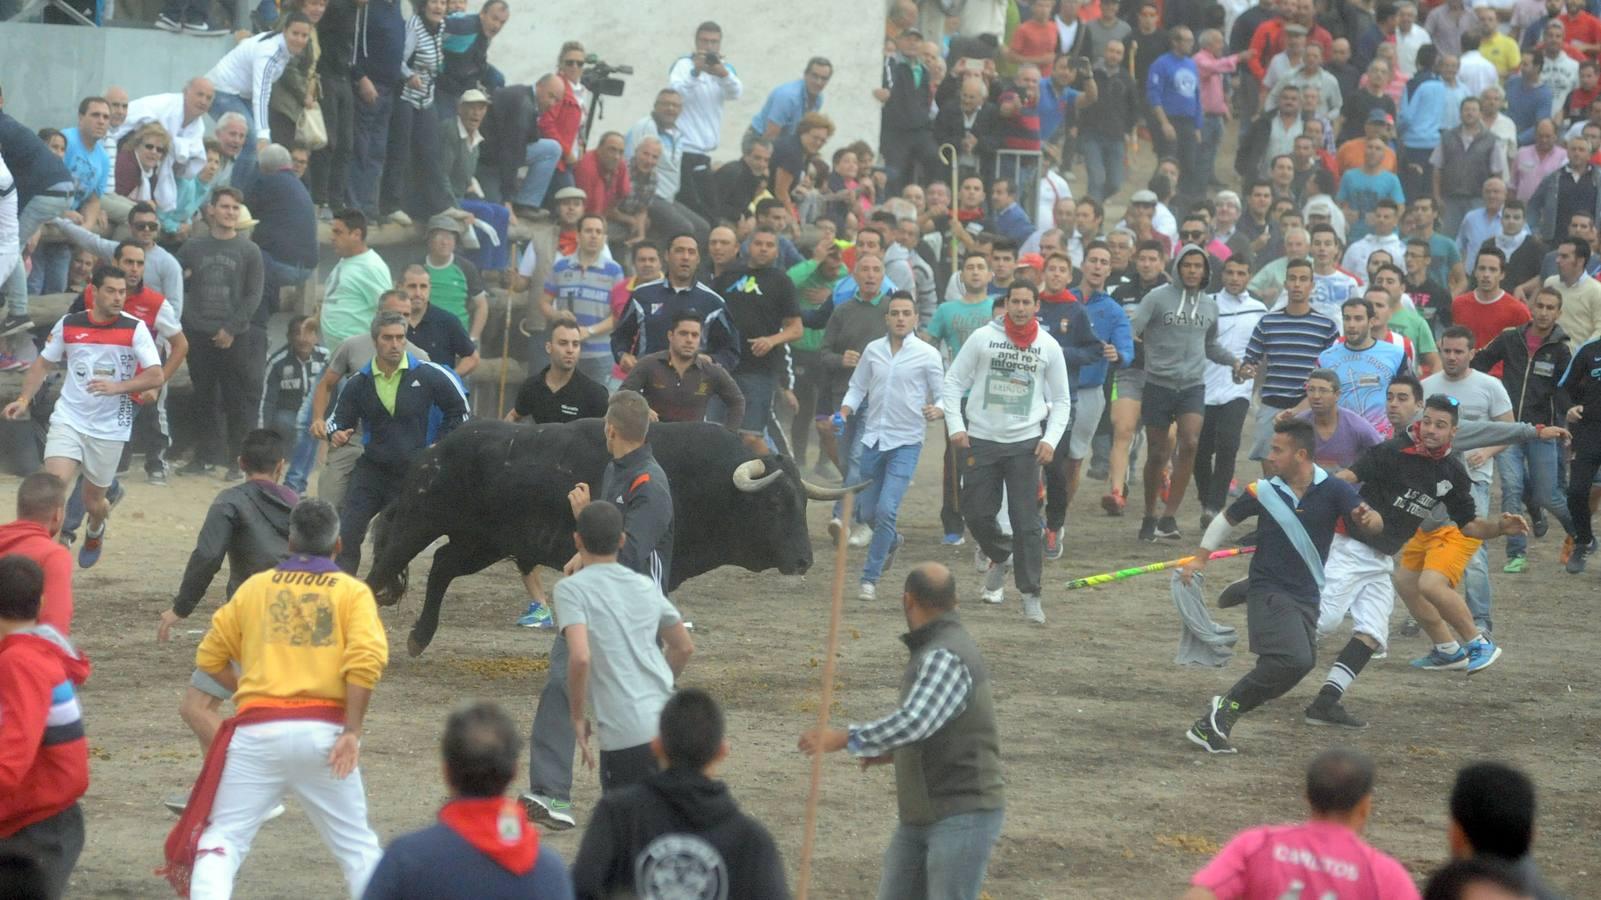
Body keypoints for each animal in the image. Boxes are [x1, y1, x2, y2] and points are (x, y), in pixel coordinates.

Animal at [363, 416, 864, 656]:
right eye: (774, 505)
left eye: (802, 503)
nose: (803, 561)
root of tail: (435, 449)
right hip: (419, 523)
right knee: (380, 570)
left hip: (481, 543)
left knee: (442, 566)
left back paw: (419, 638)